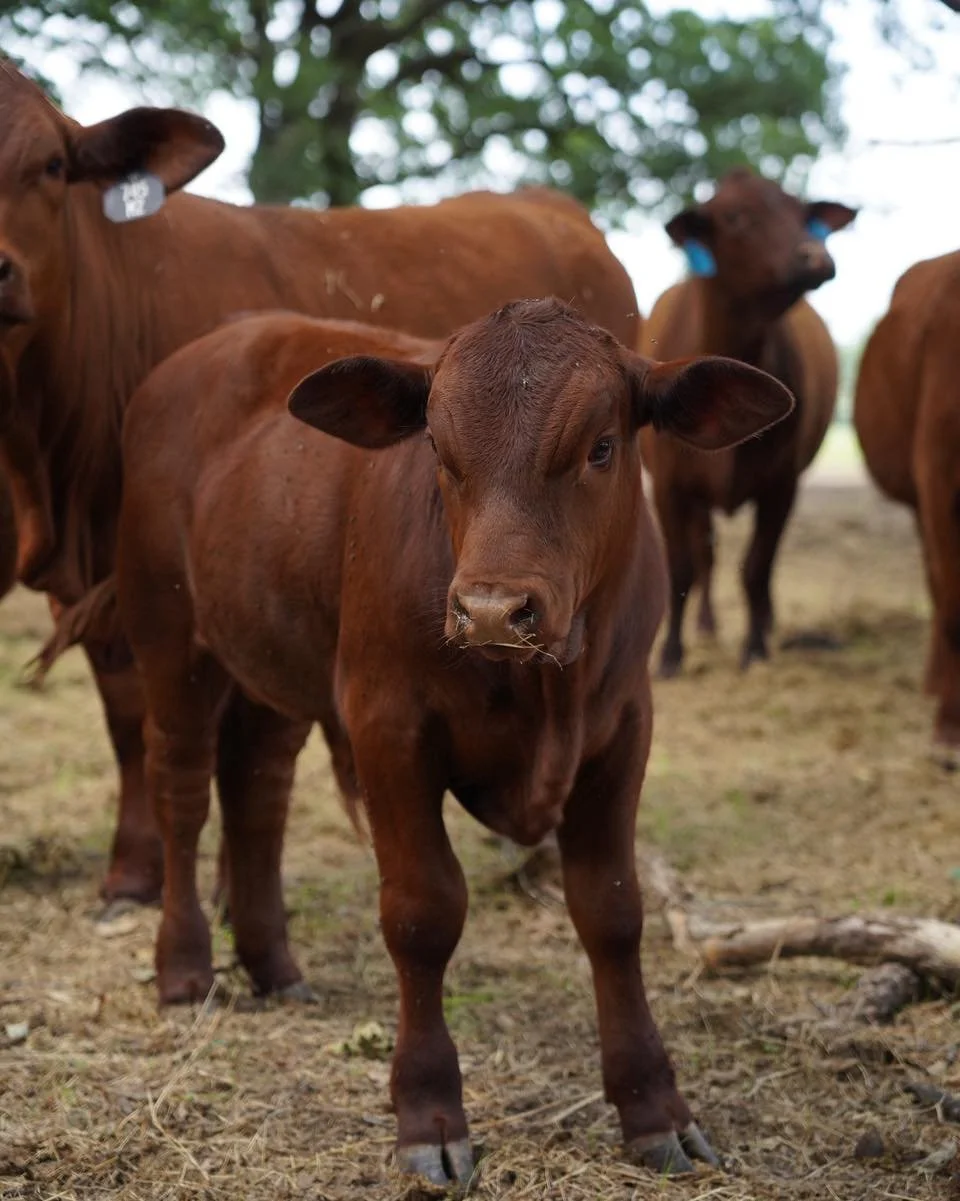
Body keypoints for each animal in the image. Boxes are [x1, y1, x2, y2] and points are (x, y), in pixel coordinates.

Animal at [105, 298, 793, 1182]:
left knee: (257, 792)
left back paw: (272, 964)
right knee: (182, 793)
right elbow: (423, 911)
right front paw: (429, 1112)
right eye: (436, 445)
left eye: (602, 446)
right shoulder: (386, 725)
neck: (546, 688)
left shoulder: (622, 730)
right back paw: (185, 966)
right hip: (169, 637)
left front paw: (654, 1106)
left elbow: (613, 910)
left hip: (270, 660)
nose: (494, 609)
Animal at [639, 168, 856, 676]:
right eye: (736, 216)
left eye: (800, 211)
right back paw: (705, 624)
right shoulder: (670, 487)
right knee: (705, 554)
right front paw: (671, 654)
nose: (815, 256)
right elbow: (682, 566)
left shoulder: (781, 484)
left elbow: (757, 567)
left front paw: (755, 647)